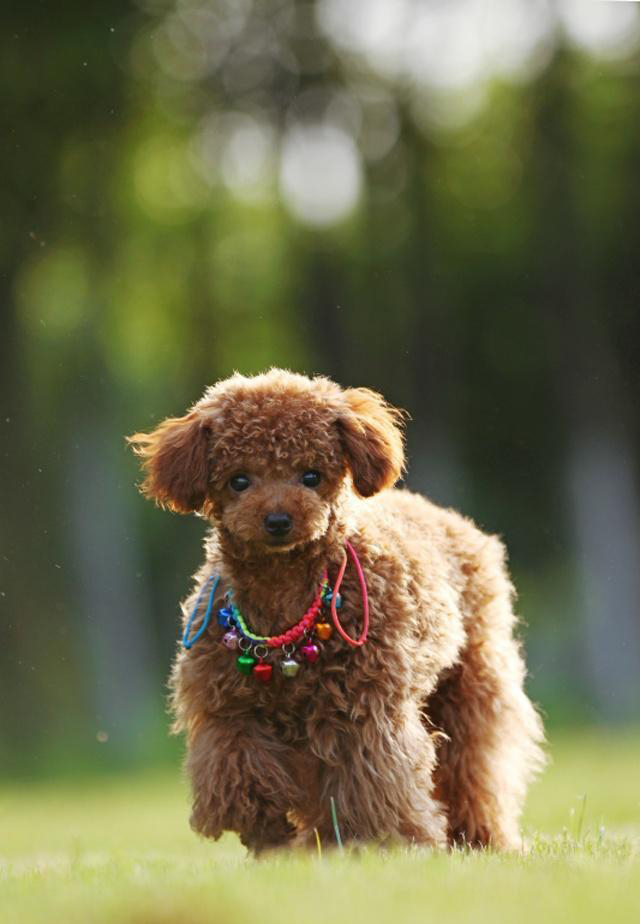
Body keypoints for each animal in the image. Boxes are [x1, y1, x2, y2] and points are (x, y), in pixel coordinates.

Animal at [129, 366, 544, 852]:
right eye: (239, 480)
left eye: (311, 476)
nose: (277, 521)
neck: (285, 594)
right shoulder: (228, 709)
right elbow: (240, 769)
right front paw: (268, 831)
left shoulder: (364, 711)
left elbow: (371, 781)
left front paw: (379, 842)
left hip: (471, 683)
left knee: (474, 764)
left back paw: (481, 838)